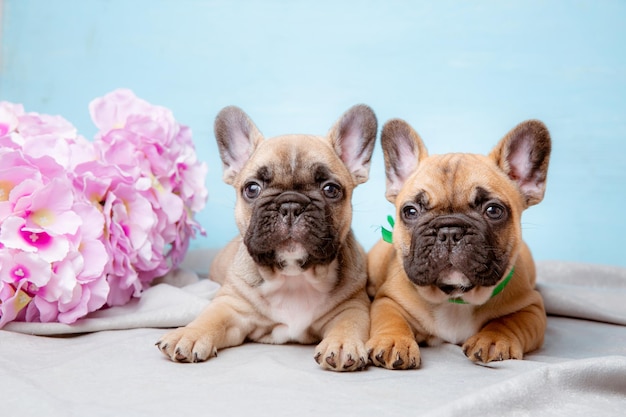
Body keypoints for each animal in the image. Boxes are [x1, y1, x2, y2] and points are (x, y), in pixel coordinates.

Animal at [156, 104, 376, 370]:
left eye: (331, 189)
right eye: (252, 188)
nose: (290, 204)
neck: (294, 277)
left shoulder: (352, 306)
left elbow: (348, 323)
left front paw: (342, 344)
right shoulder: (231, 306)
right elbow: (210, 317)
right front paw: (189, 334)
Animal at [368, 118, 548, 368]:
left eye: (493, 210)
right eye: (410, 211)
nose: (449, 231)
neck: (455, 298)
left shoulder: (531, 307)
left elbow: (508, 322)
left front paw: (493, 340)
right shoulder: (389, 300)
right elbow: (390, 319)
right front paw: (393, 341)